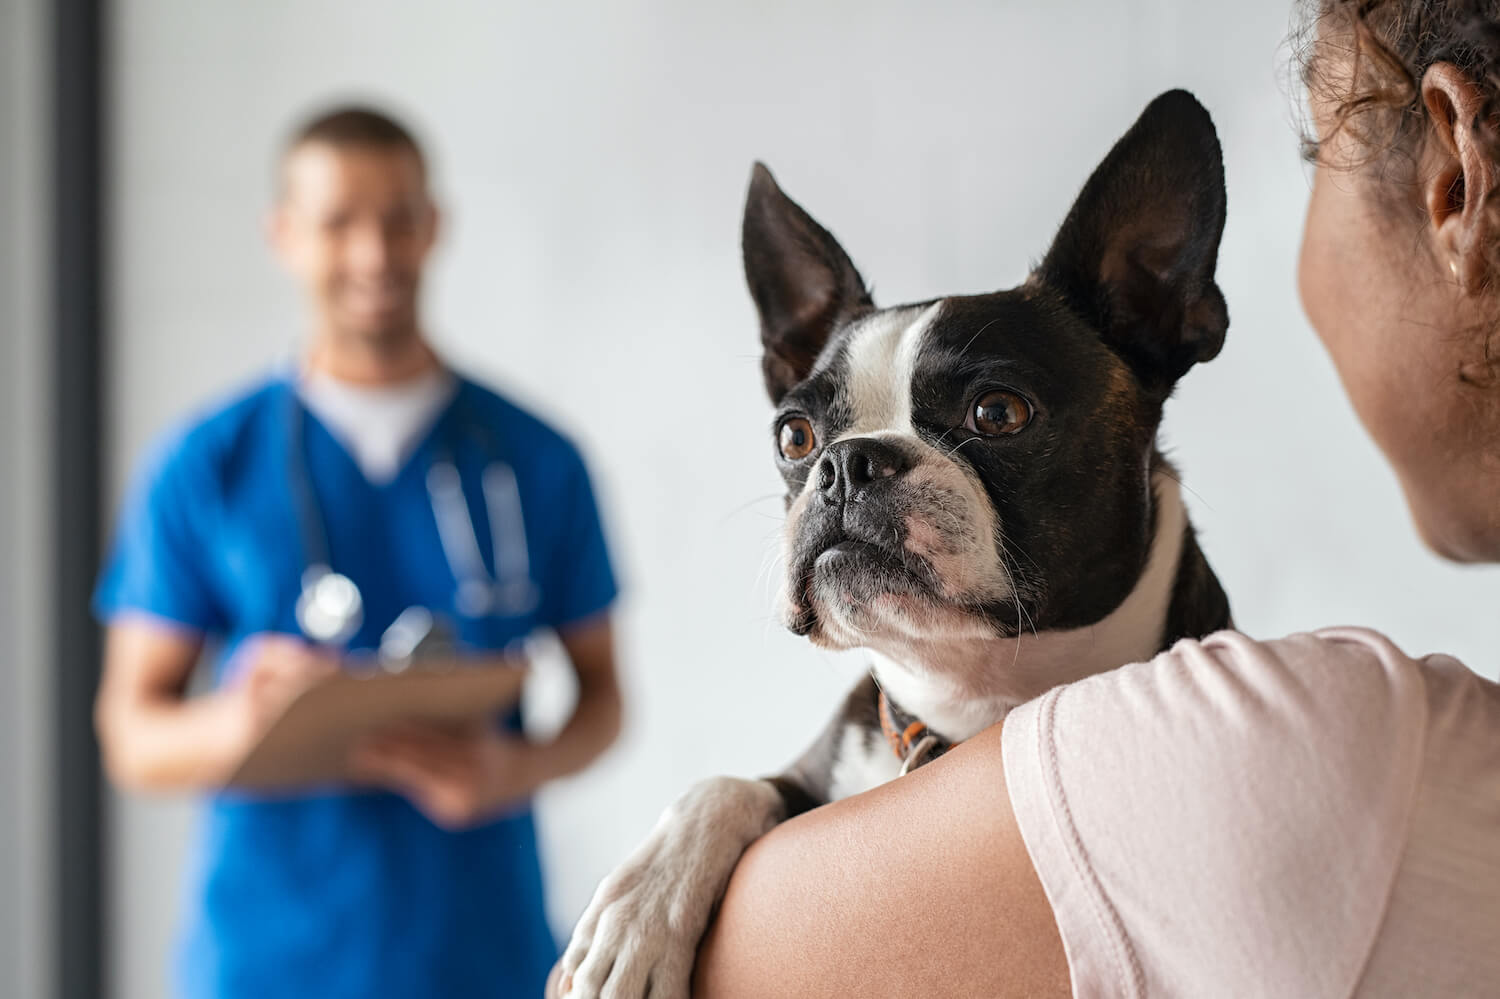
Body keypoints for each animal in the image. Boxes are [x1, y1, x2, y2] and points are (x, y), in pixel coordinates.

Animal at [558, 89, 1236, 990]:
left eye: (999, 411)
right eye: (795, 435)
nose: (846, 464)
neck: (962, 698)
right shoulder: (805, 772)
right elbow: (727, 784)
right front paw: (636, 913)